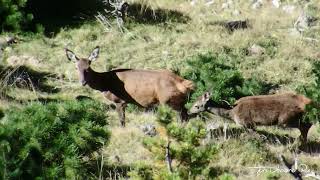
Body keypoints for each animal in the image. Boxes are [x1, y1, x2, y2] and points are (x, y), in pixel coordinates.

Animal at [65, 46, 195, 126]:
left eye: (88, 68)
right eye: (76, 67)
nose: (82, 82)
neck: (105, 84)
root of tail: (183, 83)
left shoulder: (119, 101)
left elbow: (122, 121)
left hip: (168, 100)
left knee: (181, 117)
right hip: (179, 101)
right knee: (186, 115)